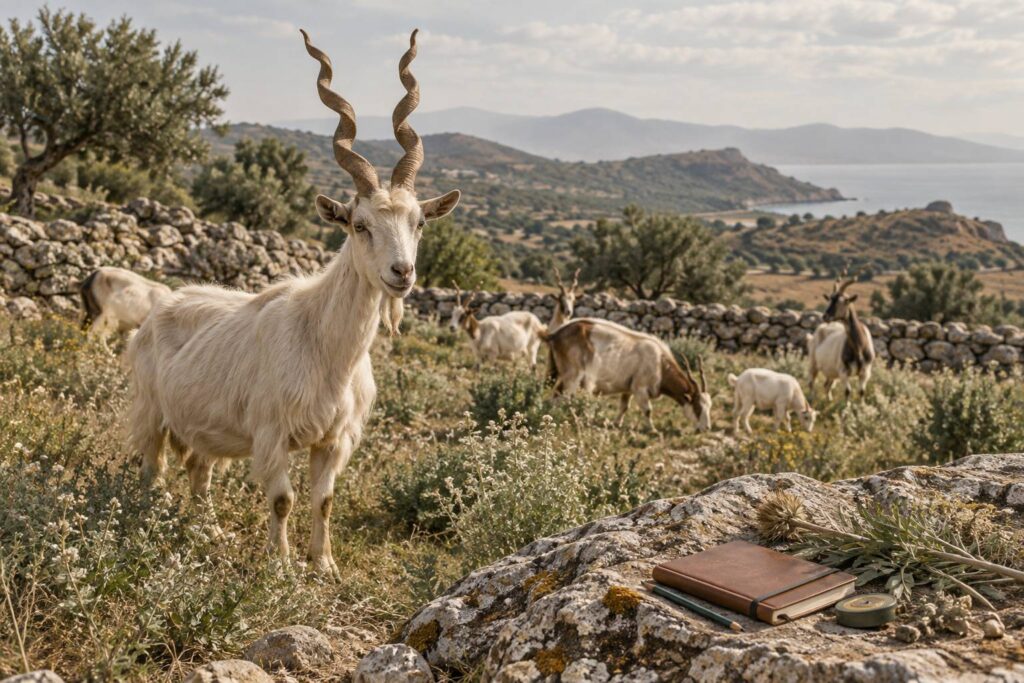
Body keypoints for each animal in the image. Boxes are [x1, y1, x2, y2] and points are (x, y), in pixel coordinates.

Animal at [126, 29, 461, 577]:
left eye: (419, 223)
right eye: (359, 224)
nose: (401, 274)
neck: (324, 348)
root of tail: (159, 309)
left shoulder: (334, 442)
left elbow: (323, 500)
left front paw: (324, 565)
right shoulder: (271, 433)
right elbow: (282, 499)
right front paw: (280, 566)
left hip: (204, 425)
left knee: (199, 468)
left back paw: (207, 531)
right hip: (150, 410)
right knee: (151, 467)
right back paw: (149, 521)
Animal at [545, 318, 712, 431]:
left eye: (709, 406)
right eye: (698, 407)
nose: (706, 428)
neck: (659, 362)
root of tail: (556, 335)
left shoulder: (628, 388)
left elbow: (624, 406)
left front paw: (616, 424)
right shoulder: (640, 388)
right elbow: (648, 410)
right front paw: (653, 430)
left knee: (556, 396)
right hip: (573, 377)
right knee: (566, 398)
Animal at [807, 273, 875, 402]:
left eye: (843, 301)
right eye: (830, 299)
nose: (825, 316)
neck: (859, 346)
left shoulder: (865, 374)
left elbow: (861, 392)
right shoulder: (844, 373)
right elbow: (847, 391)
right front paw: (846, 408)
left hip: (832, 373)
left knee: (827, 385)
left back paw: (829, 401)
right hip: (814, 365)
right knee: (811, 383)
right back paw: (811, 400)